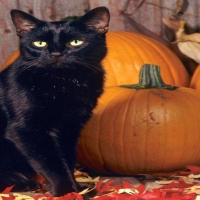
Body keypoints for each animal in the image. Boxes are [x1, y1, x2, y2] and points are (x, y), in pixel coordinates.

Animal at [0, 6, 109, 197]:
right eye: (39, 43)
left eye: (76, 42)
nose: (56, 53)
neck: (61, 83)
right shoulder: (27, 129)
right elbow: (51, 162)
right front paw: (67, 192)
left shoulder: (69, 128)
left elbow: (67, 160)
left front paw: (78, 190)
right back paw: (21, 182)